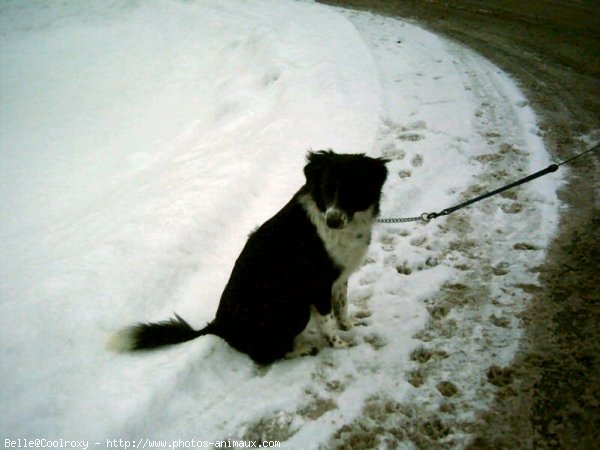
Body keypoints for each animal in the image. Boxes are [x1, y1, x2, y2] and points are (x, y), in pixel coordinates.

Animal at [109, 149, 390, 364]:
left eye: (353, 189)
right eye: (325, 187)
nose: (332, 221)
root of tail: (217, 325)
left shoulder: (340, 276)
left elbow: (341, 306)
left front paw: (349, 327)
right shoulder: (317, 283)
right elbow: (328, 321)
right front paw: (339, 345)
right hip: (292, 306)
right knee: (264, 355)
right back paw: (303, 349)